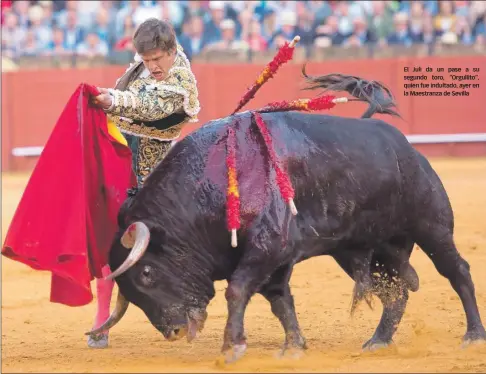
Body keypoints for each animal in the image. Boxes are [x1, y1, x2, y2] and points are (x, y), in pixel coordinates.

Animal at [88, 71, 486, 360]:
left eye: (147, 273)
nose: (174, 331)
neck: (210, 186)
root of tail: (406, 147)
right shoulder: (274, 259)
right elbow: (280, 301)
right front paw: (294, 346)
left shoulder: (266, 248)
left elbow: (238, 290)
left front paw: (232, 346)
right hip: (370, 248)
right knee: (397, 289)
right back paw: (378, 340)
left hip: (432, 226)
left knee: (456, 271)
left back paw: (473, 335)